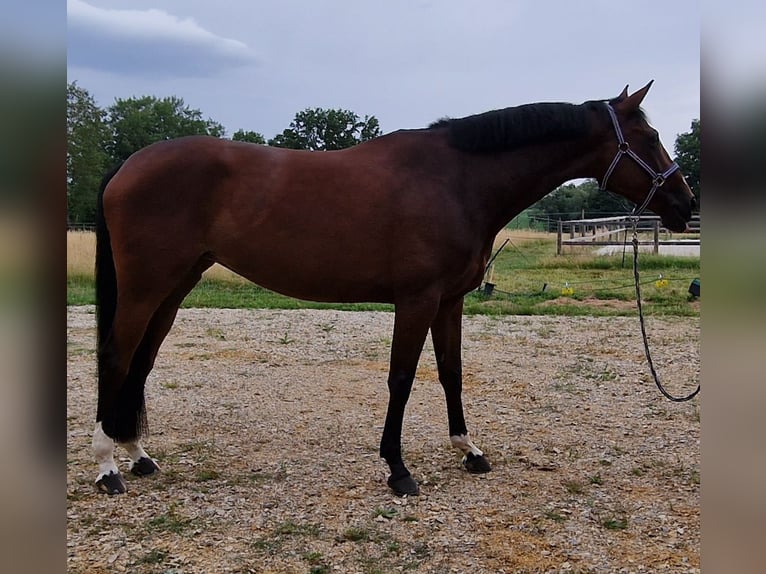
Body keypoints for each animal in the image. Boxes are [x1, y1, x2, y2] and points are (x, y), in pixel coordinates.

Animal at [90, 83, 696, 498]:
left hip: (174, 287)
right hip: (146, 286)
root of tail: (128, 164)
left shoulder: (450, 301)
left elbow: (451, 373)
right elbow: (402, 379)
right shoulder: (417, 299)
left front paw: (469, 451)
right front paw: (398, 469)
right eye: (649, 138)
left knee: (142, 360)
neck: (457, 181)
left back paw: (139, 456)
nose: (685, 205)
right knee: (118, 357)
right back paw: (107, 467)